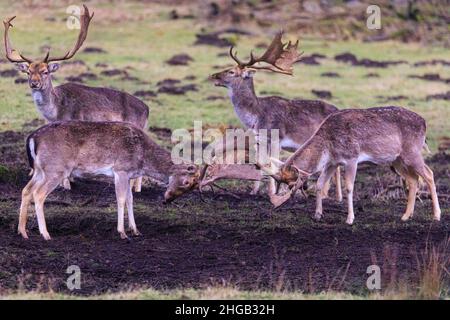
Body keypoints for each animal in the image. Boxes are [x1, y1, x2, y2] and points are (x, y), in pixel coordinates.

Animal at [3, 5, 149, 191]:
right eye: (28, 72)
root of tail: (147, 108)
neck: (55, 112)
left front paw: (66, 185)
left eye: (45, 71)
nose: (34, 83)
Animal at [20, 120, 204, 240]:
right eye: (187, 182)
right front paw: (122, 232)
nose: (167, 200)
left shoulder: (129, 175)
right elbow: (121, 199)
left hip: (40, 170)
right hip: (55, 169)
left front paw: (135, 230)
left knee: (26, 190)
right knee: (38, 194)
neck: (143, 158)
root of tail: (32, 138)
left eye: (192, 187)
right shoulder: (120, 170)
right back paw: (45, 234)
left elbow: (130, 199)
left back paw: (23, 232)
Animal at [209, 31, 342, 201]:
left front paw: (273, 193)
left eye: (231, 71)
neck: (256, 116)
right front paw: (254, 192)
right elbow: (259, 164)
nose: (214, 75)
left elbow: (271, 165)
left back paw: (331, 196)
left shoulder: (276, 139)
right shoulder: (259, 140)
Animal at [260, 106, 440, 224]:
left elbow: (349, 187)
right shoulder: (332, 162)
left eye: (290, 185)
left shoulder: (352, 157)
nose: (277, 205)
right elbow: (319, 184)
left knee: (429, 174)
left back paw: (436, 215)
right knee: (413, 179)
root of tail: (425, 123)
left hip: (412, 152)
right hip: (397, 159)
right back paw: (405, 216)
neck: (327, 146)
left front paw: (350, 218)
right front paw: (317, 214)